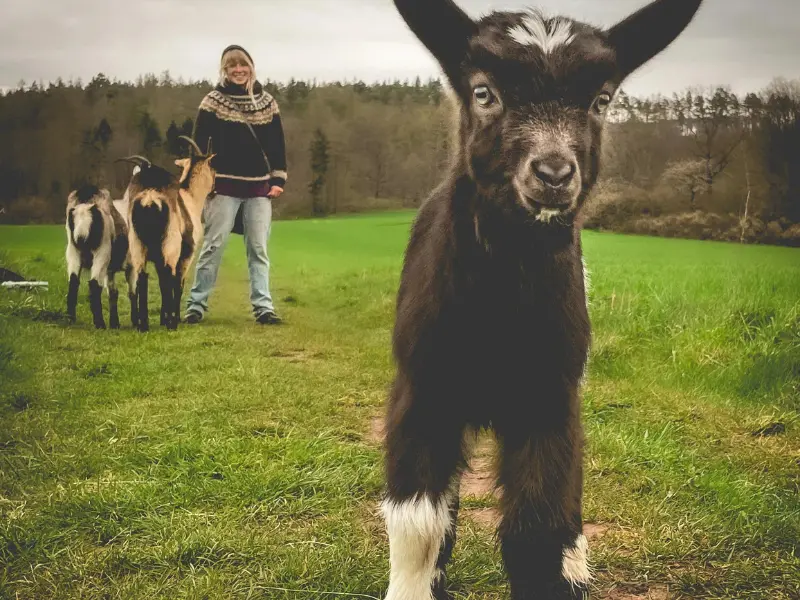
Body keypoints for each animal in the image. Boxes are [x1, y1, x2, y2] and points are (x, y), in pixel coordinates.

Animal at [65, 184, 132, 329]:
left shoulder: (110, 270)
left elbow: (113, 292)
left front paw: (115, 323)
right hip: (102, 253)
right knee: (95, 284)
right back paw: (100, 323)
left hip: (73, 252)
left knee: (73, 282)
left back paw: (70, 319)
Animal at [117, 136, 215, 332]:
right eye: (213, 170)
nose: (214, 190)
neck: (190, 197)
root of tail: (149, 198)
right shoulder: (185, 254)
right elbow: (177, 283)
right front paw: (173, 318)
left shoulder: (157, 257)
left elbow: (162, 282)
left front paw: (163, 318)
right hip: (170, 245)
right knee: (168, 276)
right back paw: (170, 324)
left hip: (138, 245)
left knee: (142, 277)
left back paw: (143, 325)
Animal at [381, 1, 703, 598]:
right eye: (483, 92)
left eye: (602, 100)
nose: (553, 174)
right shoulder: (424, 386)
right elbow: (417, 523)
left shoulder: (549, 397)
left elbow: (538, 527)